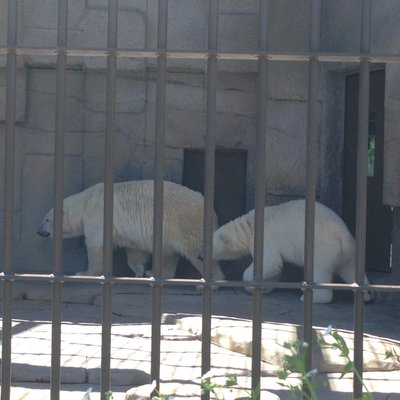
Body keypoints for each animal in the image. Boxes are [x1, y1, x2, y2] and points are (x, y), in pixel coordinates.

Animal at [36, 180, 225, 280]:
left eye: (46, 219)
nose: (38, 231)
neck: (85, 202)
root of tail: (212, 210)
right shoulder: (130, 234)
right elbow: (135, 251)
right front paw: (140, 271)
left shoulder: (97, 215)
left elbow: (96, 246)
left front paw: (85, 272)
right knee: (168, 253)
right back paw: (153, 273)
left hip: (185, 221)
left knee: (196, 249)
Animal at [212, 200, 376, 304]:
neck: (250, 226)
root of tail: (345, 238)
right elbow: (275, 267)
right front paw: (266, 287)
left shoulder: (267, 238)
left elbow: (271, 262)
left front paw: (251, 284)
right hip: (348, 253)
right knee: (351, 270)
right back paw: (367, 295)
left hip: (323, 247)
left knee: (319, 271)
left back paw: (311, 296)